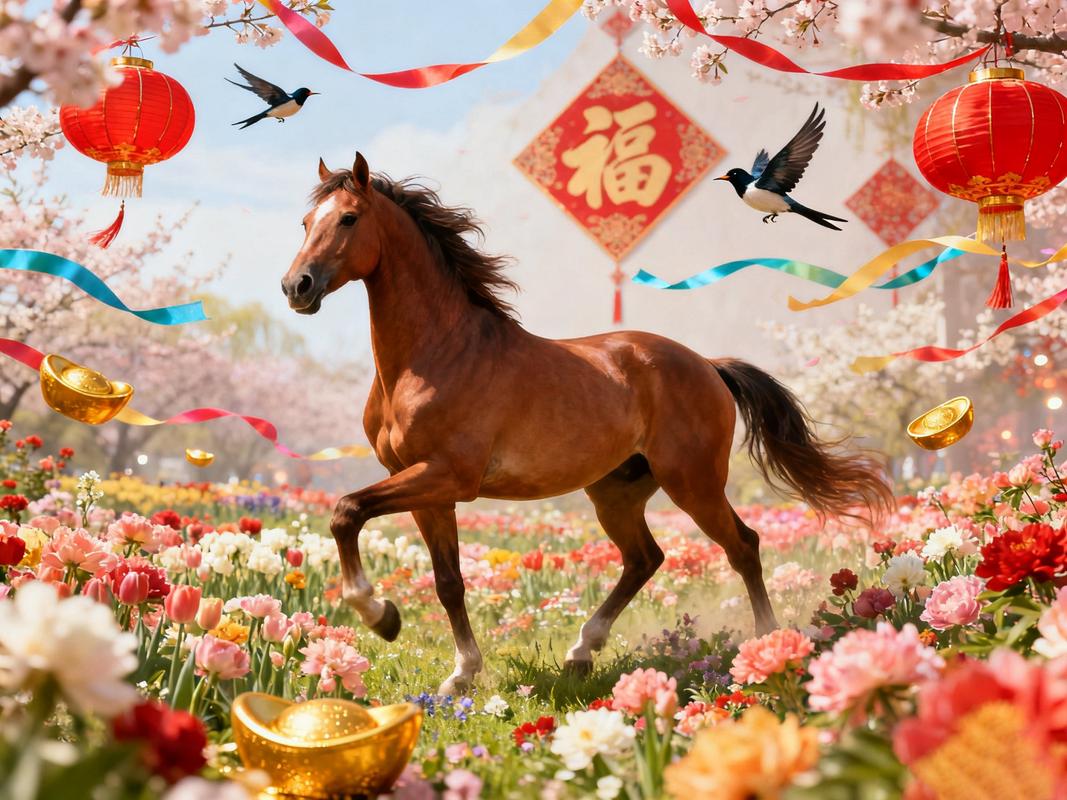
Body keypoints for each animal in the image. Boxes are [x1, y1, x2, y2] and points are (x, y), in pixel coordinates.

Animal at [281, 152, 893, 694]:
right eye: (306, 222)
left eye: (349, 218)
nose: (296, 287)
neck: (435, 354)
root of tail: (708, 365)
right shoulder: (427, 489)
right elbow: (448, 582)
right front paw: (460, 674)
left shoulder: (446, 476)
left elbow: (346, 511)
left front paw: (379, 616)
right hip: (615, 492)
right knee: (645, 559)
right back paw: (581, 652)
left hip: (692, 482)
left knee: (742, 546)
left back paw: (765, 643)